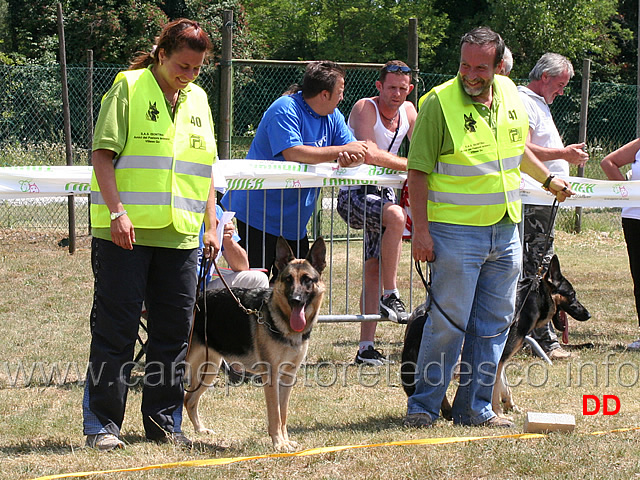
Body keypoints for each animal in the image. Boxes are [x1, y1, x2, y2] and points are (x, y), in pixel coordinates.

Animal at [400, 255, 592, 420]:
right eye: (572, 295)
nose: (588, 314)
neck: (529, 301)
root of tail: (420, 313)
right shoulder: (496, 358)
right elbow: (493, 390)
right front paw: (497, 413)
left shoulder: (500, 355)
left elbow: (504, 385)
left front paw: (510, 406)